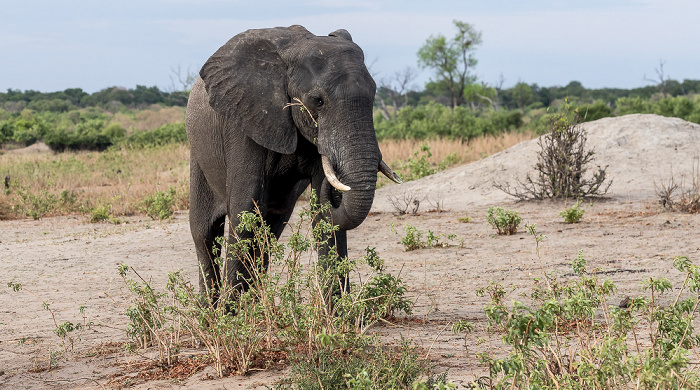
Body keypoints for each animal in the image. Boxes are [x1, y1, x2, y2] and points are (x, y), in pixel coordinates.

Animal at [186, 25, 402, 296]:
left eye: (374, 95)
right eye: (317, 100)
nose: (337, 182)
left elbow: (323, 216)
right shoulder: (243, 122)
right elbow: (246, 206)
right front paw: (232, 309)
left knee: (271, 229)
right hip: (198, 154)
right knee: (204, 232)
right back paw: (212, 307)